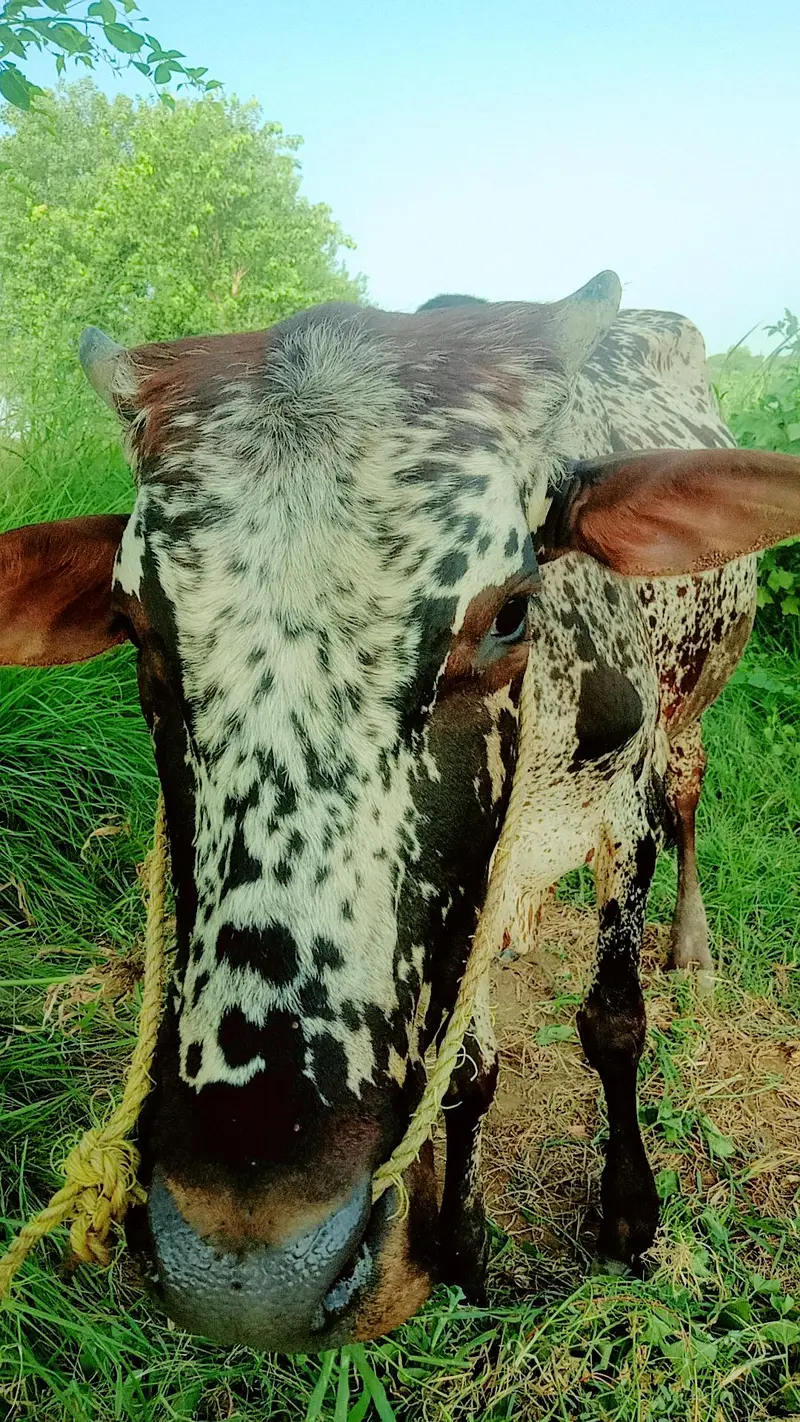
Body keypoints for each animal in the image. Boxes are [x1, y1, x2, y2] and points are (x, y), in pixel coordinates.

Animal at [0, 272, 798, 1354]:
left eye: (510, 609)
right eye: (135, 627)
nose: (249, 1262)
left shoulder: (620, 818)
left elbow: (612, 1022)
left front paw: (629, 1220)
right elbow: (466, 1072)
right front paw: (465, 1242)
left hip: (686, 725)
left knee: (691, 791)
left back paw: (693, 948)